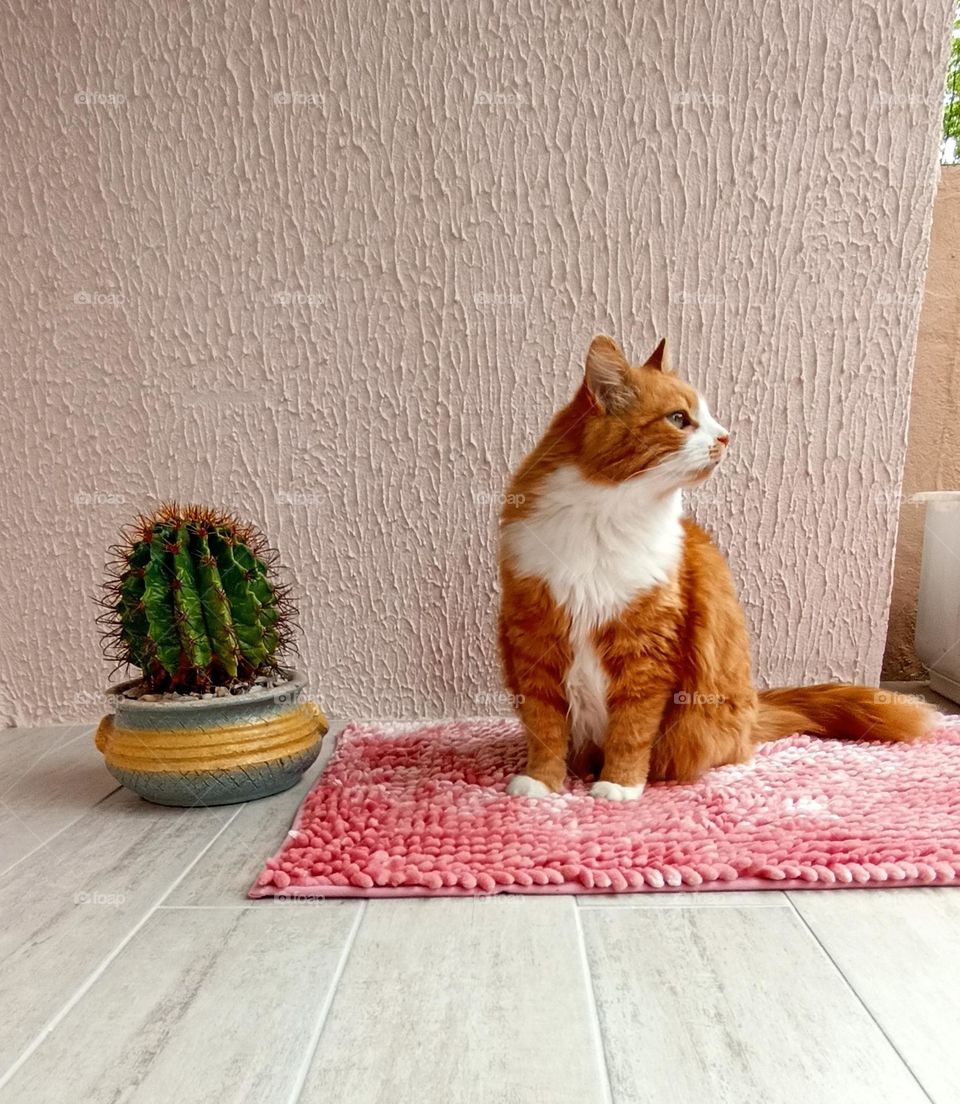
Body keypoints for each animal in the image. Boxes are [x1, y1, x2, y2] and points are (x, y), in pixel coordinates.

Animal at [500, 331, 935, 799]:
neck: (606, 515)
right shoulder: (536, 641)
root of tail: (754, 710)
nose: (726, 437)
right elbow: (546, 730)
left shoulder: (647, 651)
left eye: (706, 417)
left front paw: (619, 785)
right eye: (678, 418)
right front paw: (541, 783)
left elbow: (631, 731)